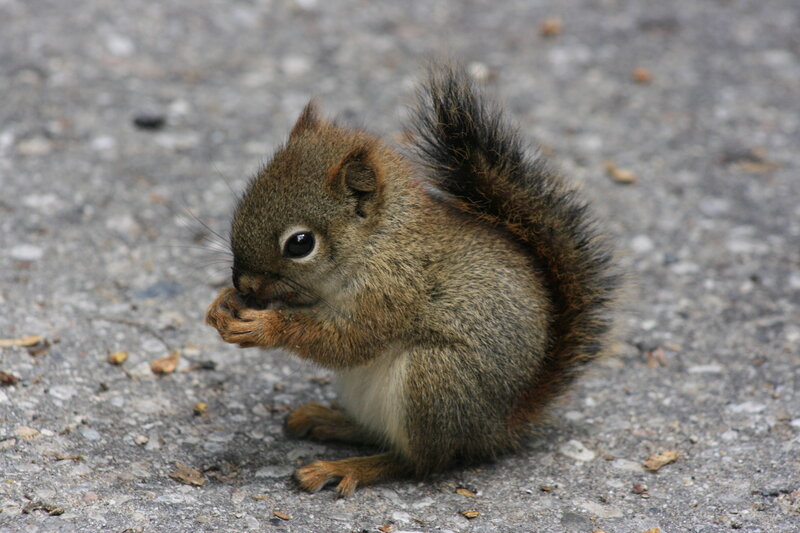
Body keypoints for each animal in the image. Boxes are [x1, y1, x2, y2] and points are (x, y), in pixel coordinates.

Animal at [205, 65, 619, 497]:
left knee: (419, 462)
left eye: (300, 243)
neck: (378, 241)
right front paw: (223, 305)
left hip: (434, 379)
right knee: (378, 434)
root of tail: (497, 427)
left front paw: (264, 326)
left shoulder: (393, 290)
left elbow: (349, 341)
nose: (245, 285)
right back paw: (329, 420)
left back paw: (347, 467)